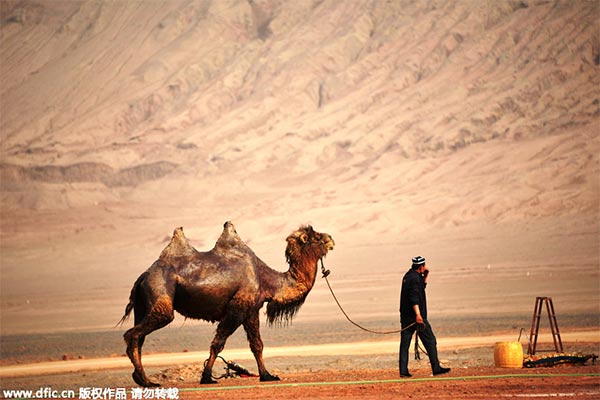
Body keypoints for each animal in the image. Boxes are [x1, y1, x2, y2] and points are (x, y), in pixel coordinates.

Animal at [117, 222, 332, 388]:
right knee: (134, 333)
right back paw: (146, 380)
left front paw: (267, 375)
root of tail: (143, 276)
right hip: (160, 295)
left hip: (143, 306)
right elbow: (218, 343)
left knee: (139, 336)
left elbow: (257, 345)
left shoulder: (251, 311)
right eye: (315, 237)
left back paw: (141, 378)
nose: (331, 238)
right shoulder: (237, 308)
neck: (268, 280)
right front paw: (206, 378)